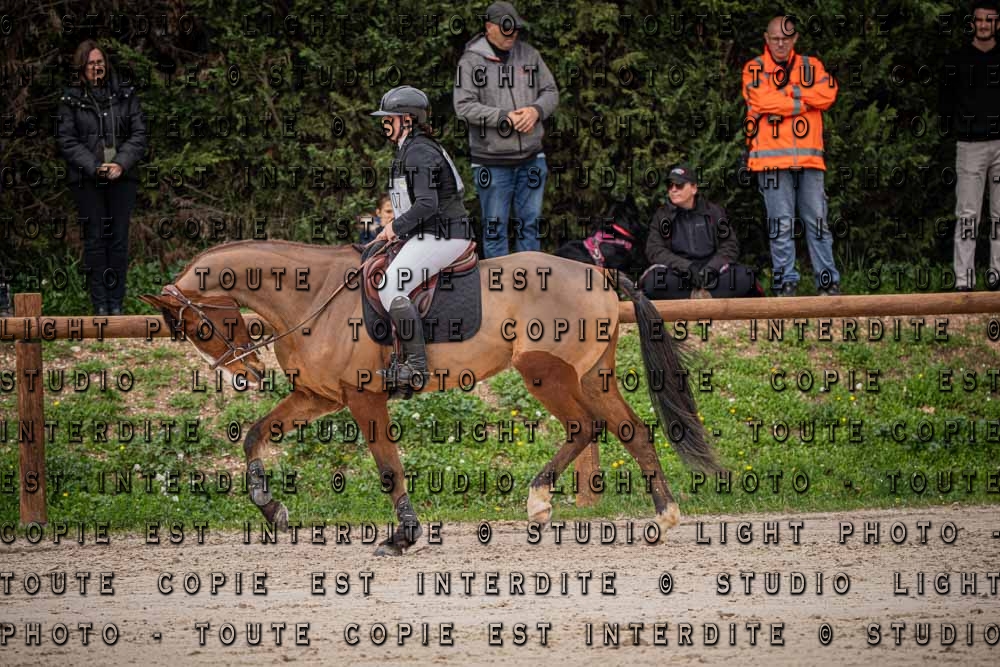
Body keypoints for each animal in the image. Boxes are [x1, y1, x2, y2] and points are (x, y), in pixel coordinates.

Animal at [141, 240, 720, 555]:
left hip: (547, 373)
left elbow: (387, 466)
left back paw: (539, 501)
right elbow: (255, 436)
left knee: (586, 427)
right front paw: (273, 510)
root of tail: (597, 270)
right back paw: (663, 517)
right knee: (631, 431)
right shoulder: (318, 395)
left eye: (199, 326)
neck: (312, 296)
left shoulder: (362, 396)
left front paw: (403, 535)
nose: (247, 376)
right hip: (592, 374)